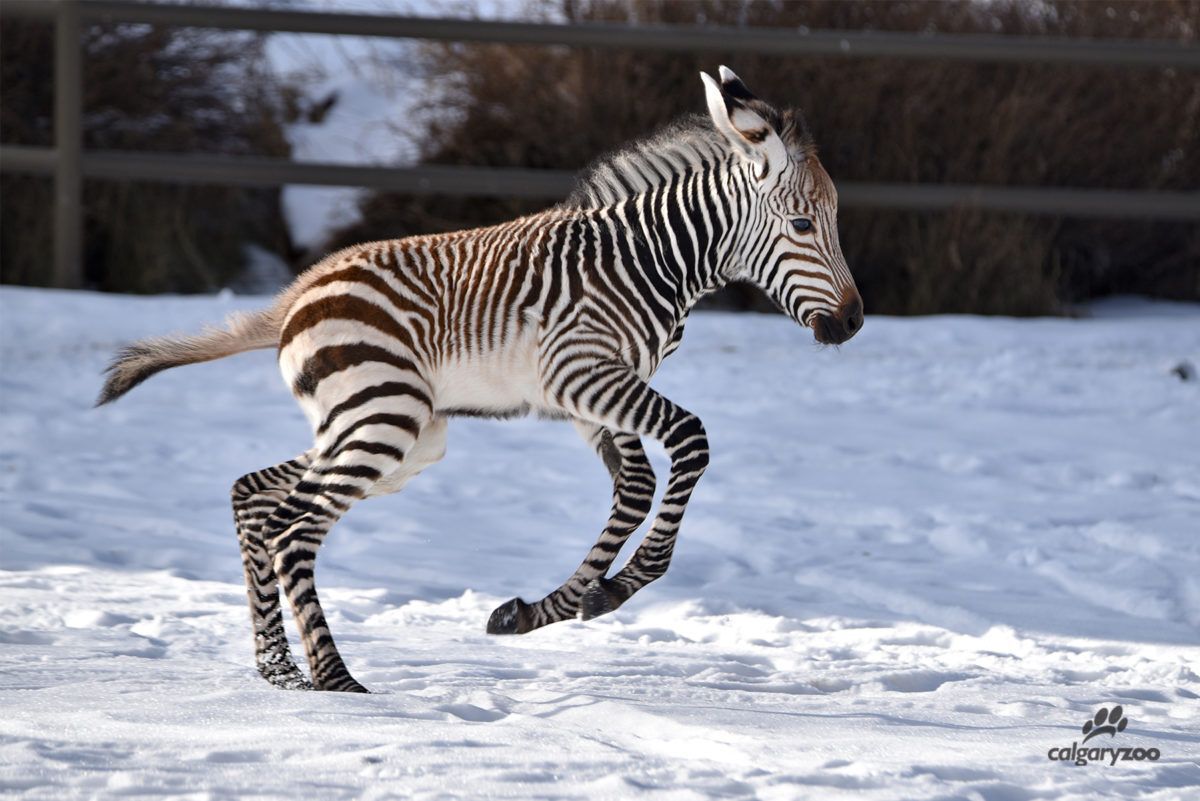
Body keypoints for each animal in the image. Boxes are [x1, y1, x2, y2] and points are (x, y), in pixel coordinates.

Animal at [97, 67, 863, 693]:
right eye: (803, 223)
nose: (854, 322)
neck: (650, 261)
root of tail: (299, 292)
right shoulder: (582, 376)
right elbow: (691, 443)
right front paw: (609, 589)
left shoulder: (593, 396)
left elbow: (636, 487)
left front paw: (556, 605)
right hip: (384, 420)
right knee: (293, 527)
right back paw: (335, 678)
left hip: (391, 432)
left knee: (254, 496)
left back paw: (279, 668)